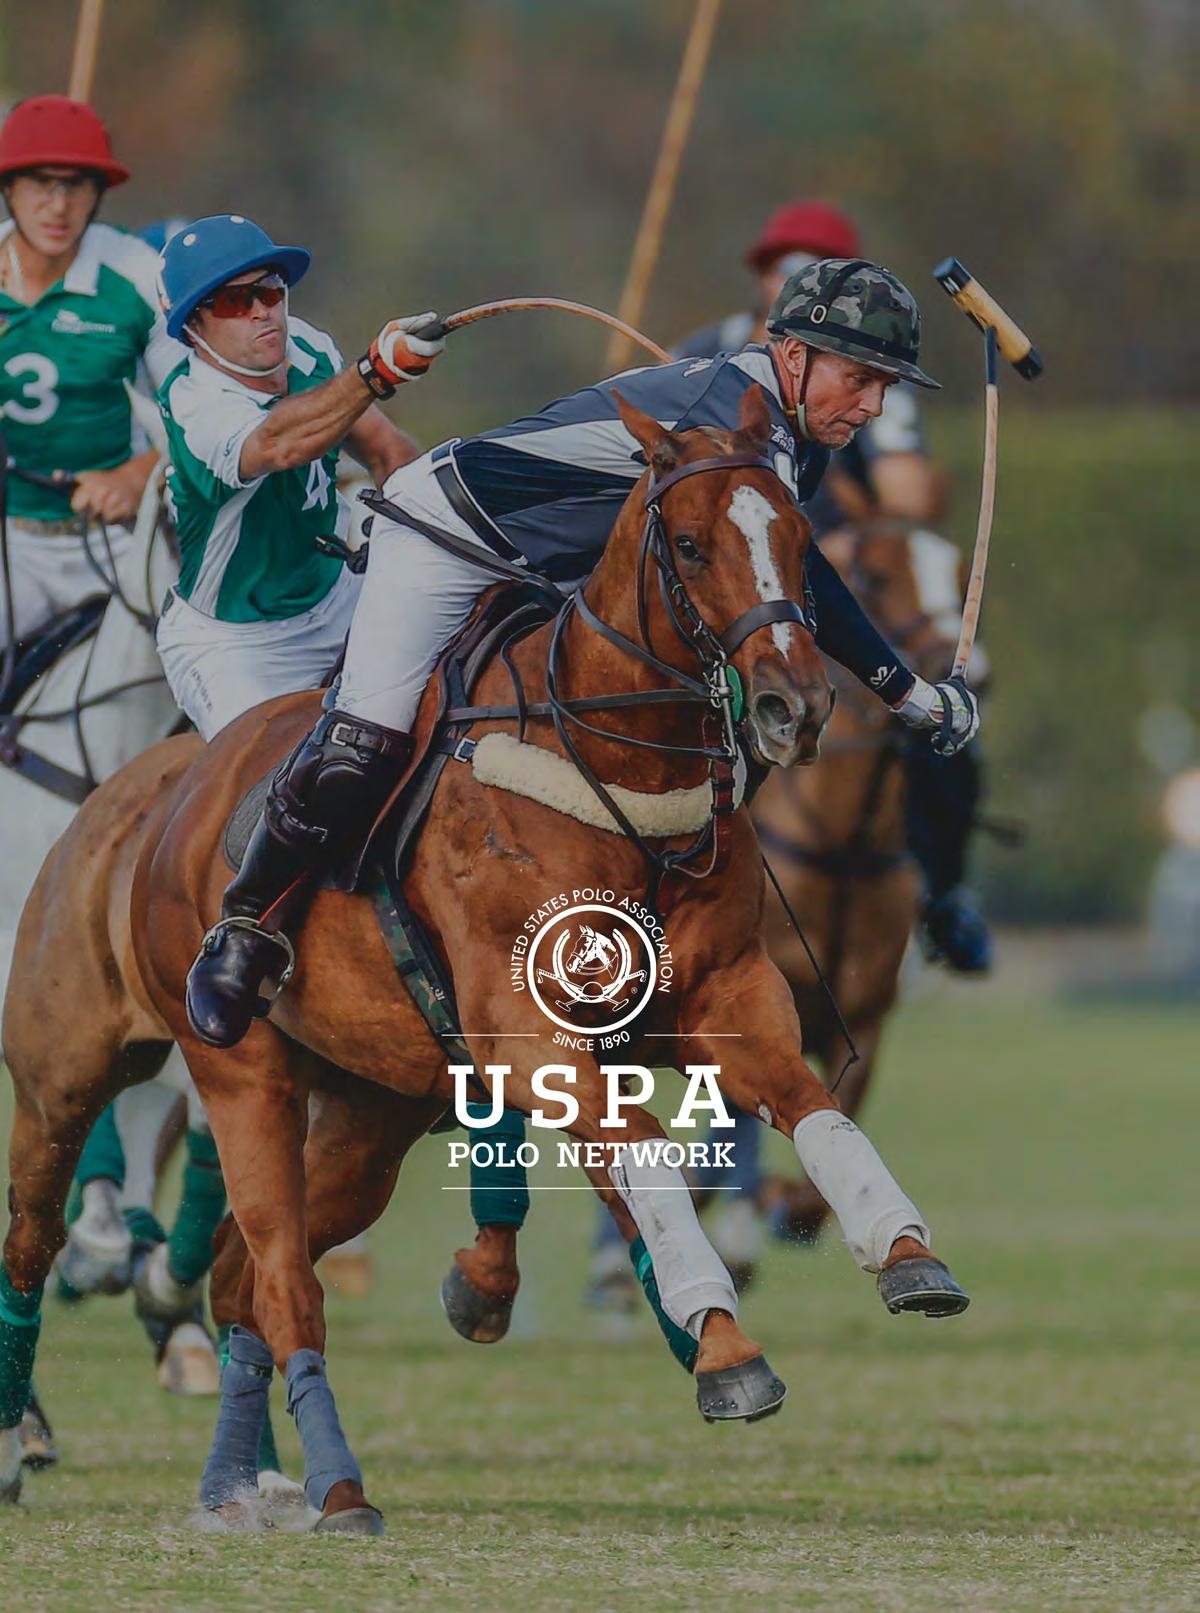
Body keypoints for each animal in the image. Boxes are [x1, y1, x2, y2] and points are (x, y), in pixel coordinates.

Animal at [2, 387, 968, 1531]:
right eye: (690, 544)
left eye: (799, 541)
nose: (793, 704)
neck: (612, 764)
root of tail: (142, 793)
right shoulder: (525, 1030)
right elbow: (642, 1150)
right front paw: (720, 1340)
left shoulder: (730, 992)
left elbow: (815, 1109)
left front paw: (905, 1254)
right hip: (129, 1072)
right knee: (120, 1249)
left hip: (366, 1114)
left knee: (247, 1273)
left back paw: (238, 1478)